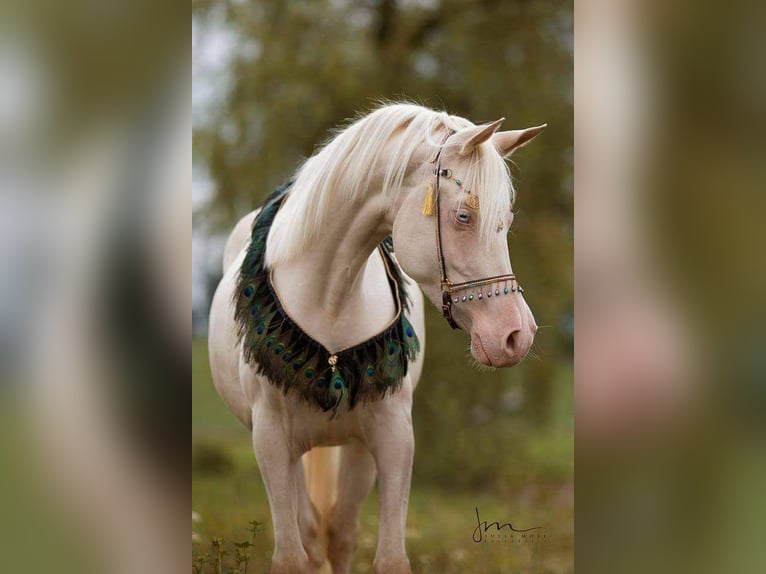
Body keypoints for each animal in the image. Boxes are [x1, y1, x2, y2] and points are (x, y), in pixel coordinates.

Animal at [208, 103, 544, 574]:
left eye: (507, 220)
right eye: (464, 216)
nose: (516, 335)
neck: (329, 301)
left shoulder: (393, 436)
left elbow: (388, 558)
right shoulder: (270, 442)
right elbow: (293, 556)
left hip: (355, 452)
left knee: (339, 533)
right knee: (311, 534)